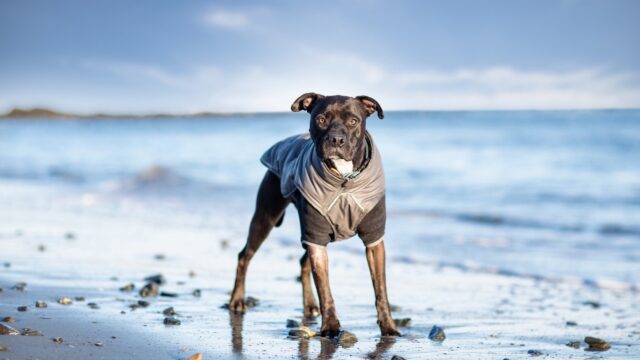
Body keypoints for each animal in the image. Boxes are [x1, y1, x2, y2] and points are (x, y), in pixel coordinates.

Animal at [229, 93, 400, 338]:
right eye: (321, 119)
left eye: (353, 121)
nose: (336, 140)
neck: (344, 181)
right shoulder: (316, 235)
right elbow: (325, 288)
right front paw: (330, 327)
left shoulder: (373, 239)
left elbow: (381, 289)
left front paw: (388, 326)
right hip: (266, 217)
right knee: (244, 256)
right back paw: (237, 300)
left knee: (302, 263)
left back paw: (309, 305)